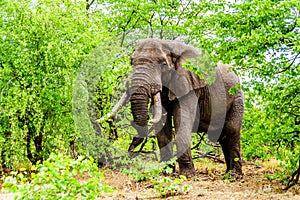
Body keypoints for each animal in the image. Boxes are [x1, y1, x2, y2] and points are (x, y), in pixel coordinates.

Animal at [108, 38, 244, 178]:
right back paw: (228, 173)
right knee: (223, 137)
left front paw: (187, 175)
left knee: (231, 131)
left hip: (237, 97)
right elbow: (162, 127)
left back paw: (234, 176)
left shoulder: (189, 85)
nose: (130, 149)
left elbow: (181, 122)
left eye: (163, 64)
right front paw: (165, 172)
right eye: (131, 62)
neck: (169, 45)